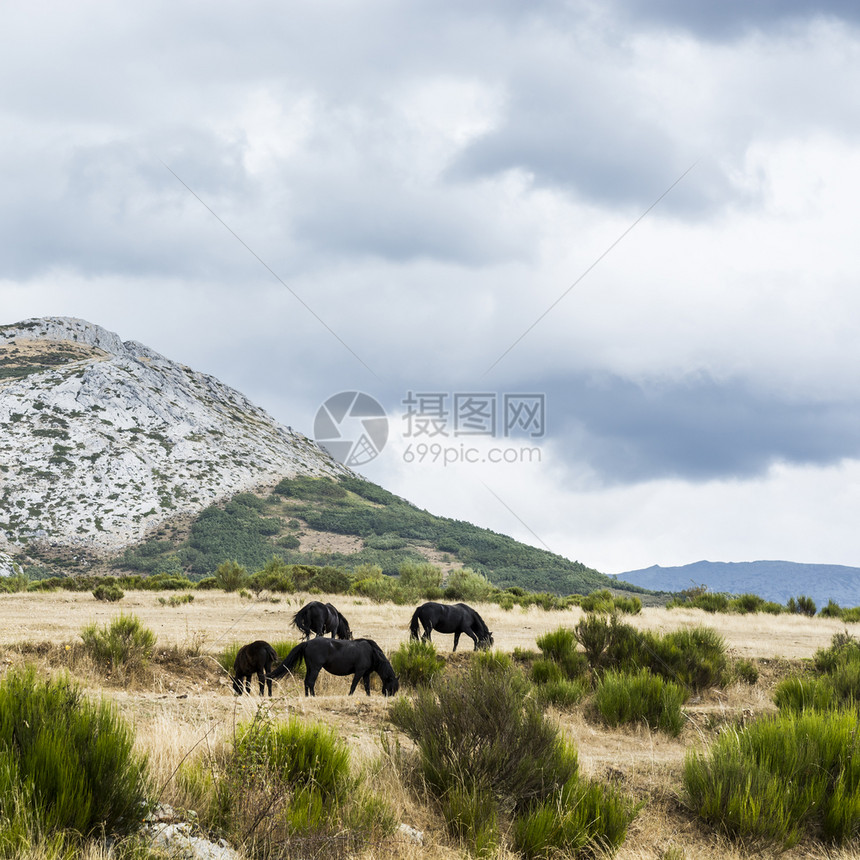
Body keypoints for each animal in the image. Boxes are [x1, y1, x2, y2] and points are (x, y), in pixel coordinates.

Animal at [268, 640, 400, 700]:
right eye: (392, 686)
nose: (390, 697)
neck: (372, 652)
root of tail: (308, 642)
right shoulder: (359, 672)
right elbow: (354, 685)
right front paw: (350, 695)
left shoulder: (366, 673)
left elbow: (367, 686)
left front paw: (368, 696)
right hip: (315, 668)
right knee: (310, 682)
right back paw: (313, 696)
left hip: (310, 668)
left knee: (306, 682)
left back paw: (307, 696)